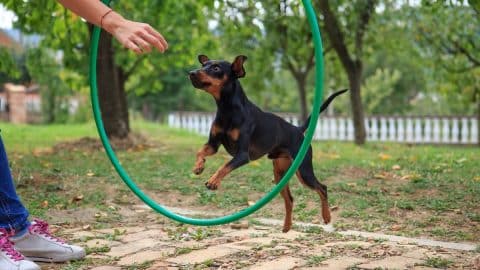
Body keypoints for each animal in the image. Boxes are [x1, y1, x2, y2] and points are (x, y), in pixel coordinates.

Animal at [188, 54, 348, 232]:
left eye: (216, 68)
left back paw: (326, 217)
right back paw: (286, 226)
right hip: (280, 174)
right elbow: (201, 151)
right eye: (204, 65)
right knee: (290, 199)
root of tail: (298, 130)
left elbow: (224, 166)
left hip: (303, 170)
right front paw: (198, 166)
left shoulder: (242, 155)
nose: (191, 73)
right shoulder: (213, 145)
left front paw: (213, 181)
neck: (227, 109)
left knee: (322, 188)